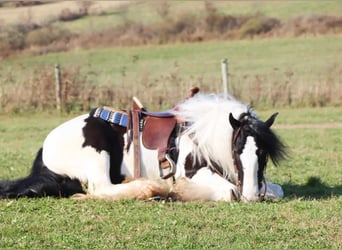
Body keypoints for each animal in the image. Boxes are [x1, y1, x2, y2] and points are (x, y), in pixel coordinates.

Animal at [0, 93, 288, 202]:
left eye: (262, 154)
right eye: (236, 150)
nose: (252, 195)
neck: (203, 135)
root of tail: (44, 152)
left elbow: (277, 190)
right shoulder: (193, 171)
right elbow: (229, 191)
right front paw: (181, 191)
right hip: (98, 153)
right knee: (102, 188)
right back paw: (152, 188)